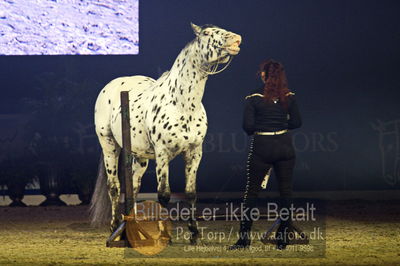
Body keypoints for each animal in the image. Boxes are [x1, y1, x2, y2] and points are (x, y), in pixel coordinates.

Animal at [90, 22, 241, 243]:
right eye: (206, 33)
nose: (236, 40)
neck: (182, 105)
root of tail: (110, 86)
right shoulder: (162, 154)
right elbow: (163, 194)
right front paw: (165, 236)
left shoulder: (195, 153)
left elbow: (190, 193)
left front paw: (194, 233)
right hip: (110, 146)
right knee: (114, 187)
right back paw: (114, 228)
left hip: (140, 157)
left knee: (133, 186)